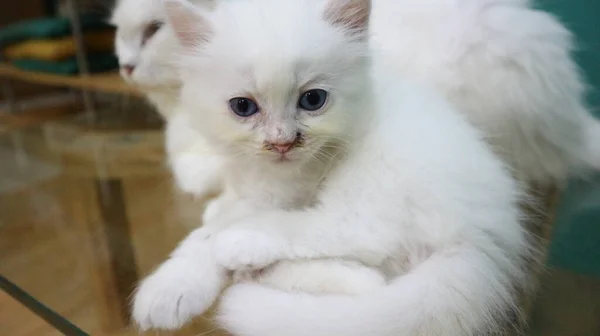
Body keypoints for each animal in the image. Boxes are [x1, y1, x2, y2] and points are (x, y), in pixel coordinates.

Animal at [136, 0, 528, 336]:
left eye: (313, 100)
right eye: (243, 107)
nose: (282, 143)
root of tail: (484, 238)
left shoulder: (287, 192)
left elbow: (212, 233)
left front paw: (170, 286)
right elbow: (225, 204)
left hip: (377, 176)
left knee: (356, 236)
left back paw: (244, 248)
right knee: (373, 276)